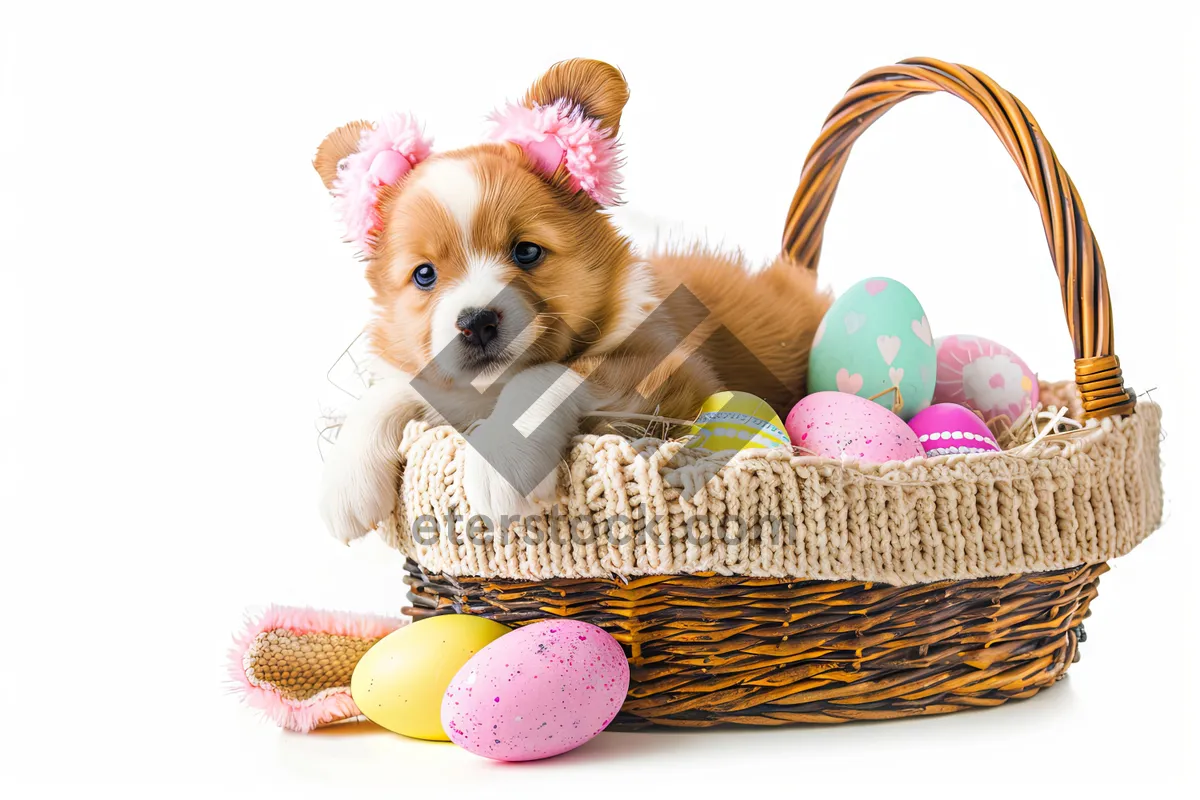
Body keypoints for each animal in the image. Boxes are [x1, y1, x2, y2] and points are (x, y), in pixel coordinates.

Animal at [314, 59, 830, 542]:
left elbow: (550, 372)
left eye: (526, 251)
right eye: (424, 275)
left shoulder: (674, 370)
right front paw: (346, 479)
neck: (491, 391)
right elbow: (394, 388)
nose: (476, 322)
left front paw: (501, 458)